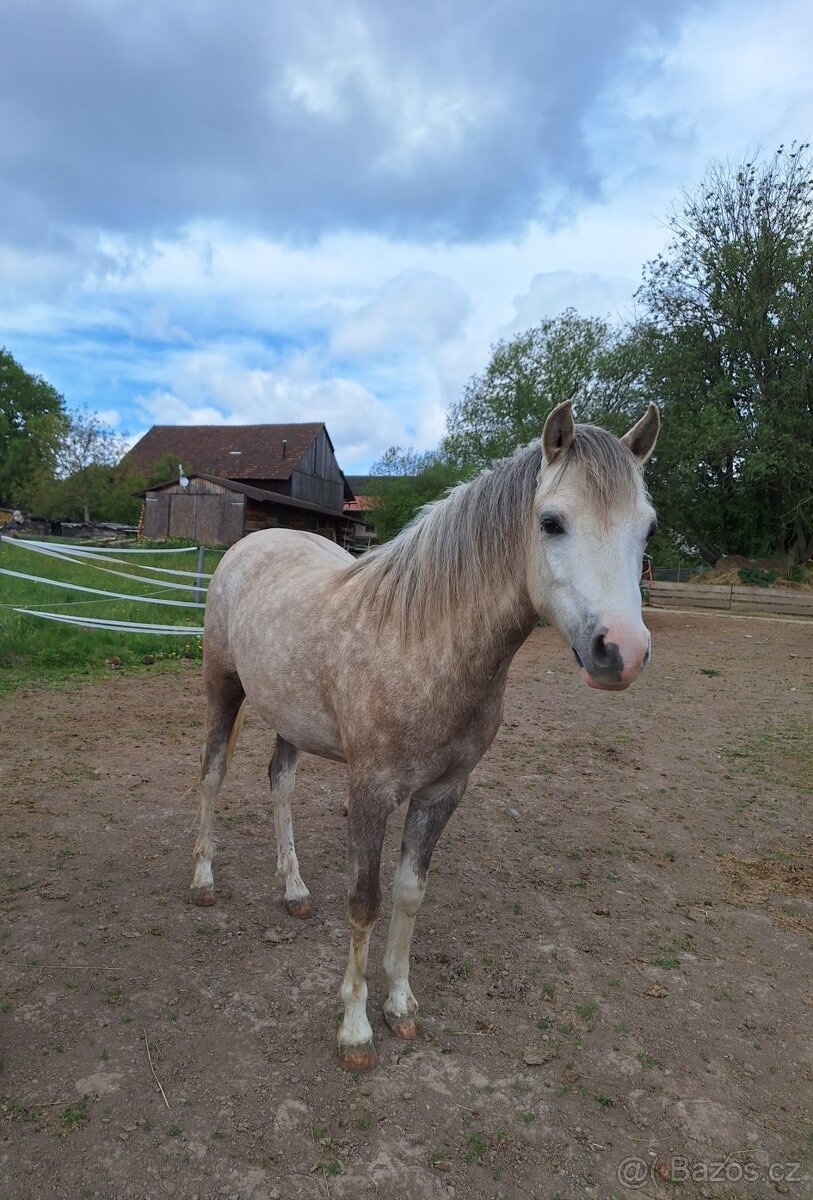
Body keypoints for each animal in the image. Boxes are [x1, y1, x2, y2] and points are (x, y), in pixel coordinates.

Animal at [190, 399, 660, 1071]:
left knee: (279, 784)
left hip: (290, 717)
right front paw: (355, 1031)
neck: (423, 641)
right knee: (212, 775)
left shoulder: (442, 793)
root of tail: (252, 542)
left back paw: (295, 889)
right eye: (551, 522)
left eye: (646, 529)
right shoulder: (370, 793)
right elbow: (364, 901)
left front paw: (400, 1004)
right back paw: (203, 881)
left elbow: (409, 892)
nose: (622, 651)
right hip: (223, 689)